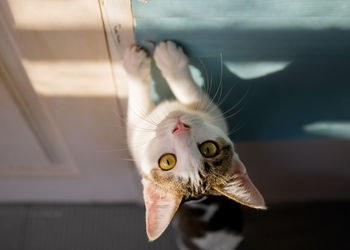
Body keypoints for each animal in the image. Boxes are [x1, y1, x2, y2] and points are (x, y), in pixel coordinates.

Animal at [123, 40, 266, 249]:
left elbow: (187, 92)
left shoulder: (212, 114)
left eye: (208, 148)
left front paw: (164, 60)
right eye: (167, 161)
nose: (180, 127)